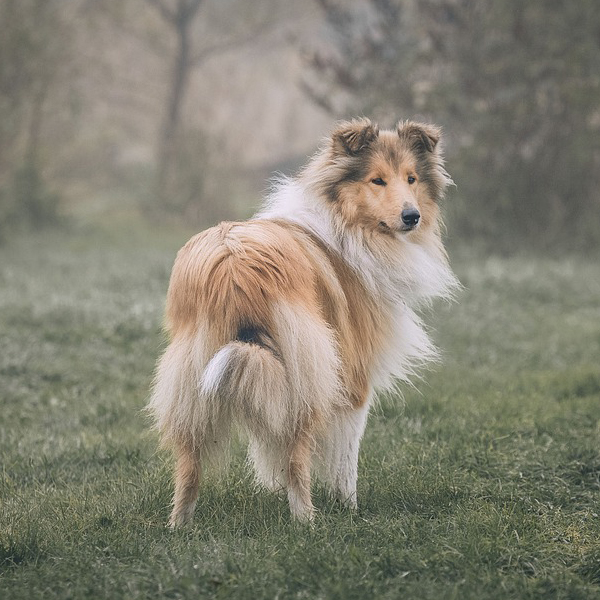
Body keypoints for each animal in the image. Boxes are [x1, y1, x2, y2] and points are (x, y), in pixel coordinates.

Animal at [149, 117, 460, 524]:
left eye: (411, 178)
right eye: (377, 180)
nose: (412, 217)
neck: (344, 222)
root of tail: (233, 267)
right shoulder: (353, 382)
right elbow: (346, 461)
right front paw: (349, 508)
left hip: (196, 378)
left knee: (188, 466)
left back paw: (180, 525)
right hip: (306, 377)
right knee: (298, 459)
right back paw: (307, 522)